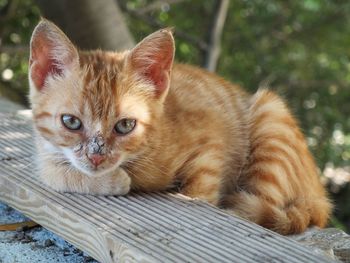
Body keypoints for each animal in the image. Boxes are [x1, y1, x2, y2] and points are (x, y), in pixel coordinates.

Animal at [28, 20, 330, 235]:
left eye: (125, 125)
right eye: (71, 122)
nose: (96, 156)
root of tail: (319, 195)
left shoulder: (211, 144)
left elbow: (198, 193)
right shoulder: (47, 154)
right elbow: (53, 172)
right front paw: (109, 180)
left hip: (271, 117)